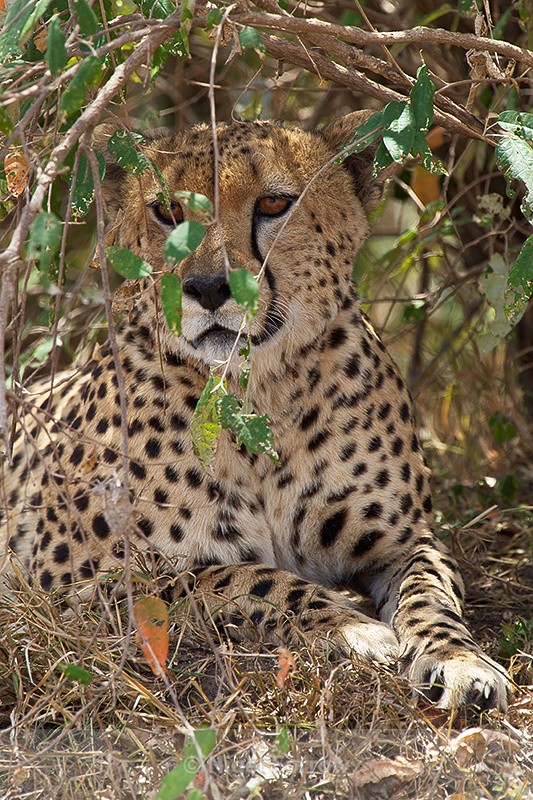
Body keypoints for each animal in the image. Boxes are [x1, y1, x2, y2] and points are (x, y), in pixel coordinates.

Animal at [0, 111, 510, 711]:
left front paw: (459, 660)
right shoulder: (74, 583)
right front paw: (351, 626)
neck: (256, 397)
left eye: (272, 204)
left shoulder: (405, 539)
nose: (206, 287)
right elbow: (238, 577)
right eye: (168, 211)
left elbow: (429, 592)